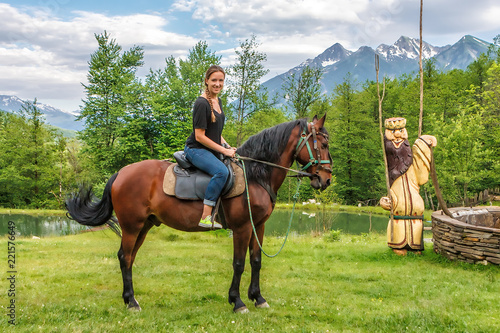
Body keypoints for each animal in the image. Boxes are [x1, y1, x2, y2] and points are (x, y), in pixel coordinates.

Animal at [65, 113, 332, 312]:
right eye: (324, 144)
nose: (326, 179)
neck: (256, 175)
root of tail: (121, 173)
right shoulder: (243, 227)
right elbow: (239, 263)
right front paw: (237, 301)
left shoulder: (259, 225)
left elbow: (256, 261)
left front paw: (258, 298)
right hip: (132, 225)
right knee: (124, 257)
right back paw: (131, 302)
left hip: (144, 225)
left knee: (128, 257)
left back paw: (129, 299)